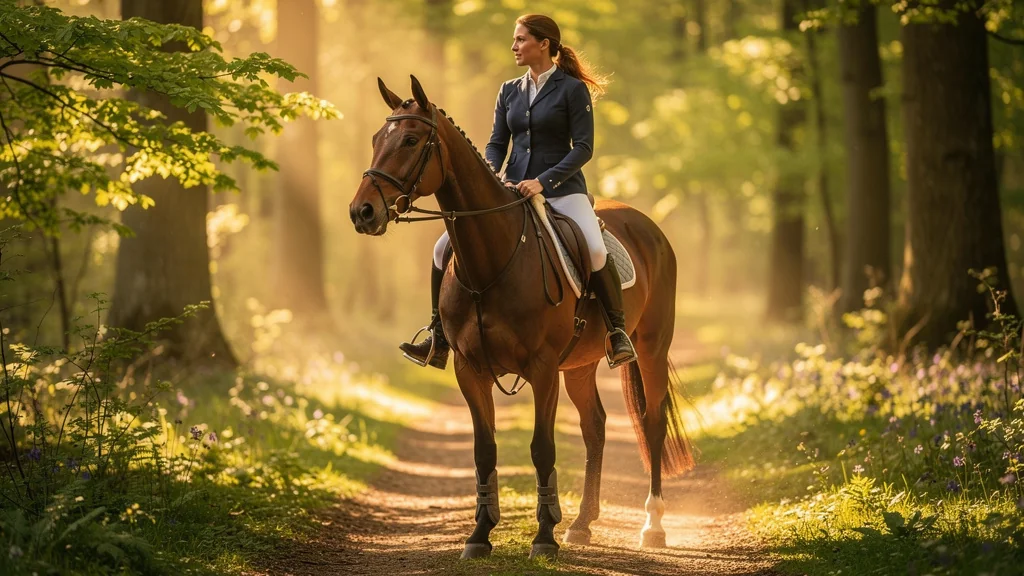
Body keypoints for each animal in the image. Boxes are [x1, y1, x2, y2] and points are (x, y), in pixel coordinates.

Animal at [349, 75, 694, 560]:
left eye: (411, 140)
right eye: (377, 139)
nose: (361, 212)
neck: (493, 259)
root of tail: (649, 227)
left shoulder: (543, 368)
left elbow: (542, 448)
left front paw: (544, 537)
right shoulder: (469, 368)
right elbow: (484, 450)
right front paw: (479, 535)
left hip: (652, 347)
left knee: (652, 421)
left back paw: (653, 524)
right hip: (581, 364)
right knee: (595, 427)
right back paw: (583, 524)